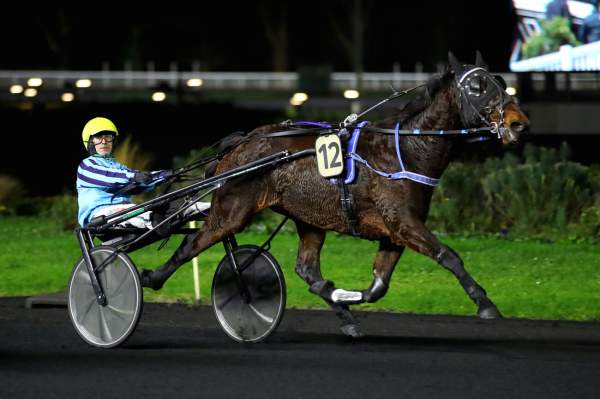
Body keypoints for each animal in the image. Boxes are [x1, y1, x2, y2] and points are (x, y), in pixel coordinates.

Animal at [141, 51, 528, 336]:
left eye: (501, 81)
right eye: (477, 85)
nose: (518, 123)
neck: (406, 149)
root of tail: (240, 143)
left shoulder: (394, 233)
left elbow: (378, 286)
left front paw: (342, 295)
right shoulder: (404, 223)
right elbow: (450, 256)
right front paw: (485, 304)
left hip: (308, 218)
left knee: (307, 270)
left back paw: (342, 312)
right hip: (231, 211)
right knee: (190, 244)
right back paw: (150, 278)